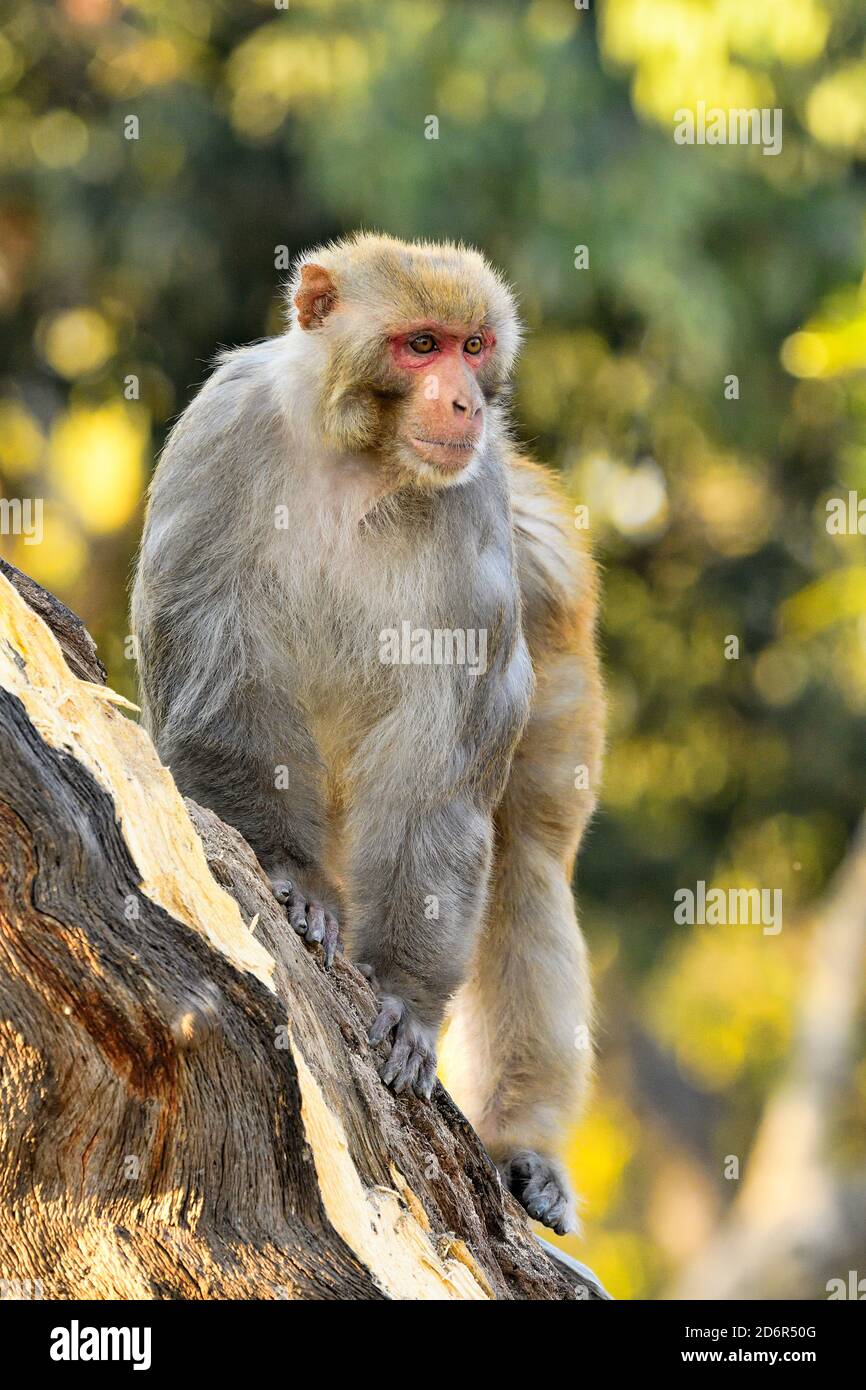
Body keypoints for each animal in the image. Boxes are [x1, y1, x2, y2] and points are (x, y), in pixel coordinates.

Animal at [132, 233, 606, 1234]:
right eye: (420, 345)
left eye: (472, 347)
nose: (466, 402)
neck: (360, 459)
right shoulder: (219, 438)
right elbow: (215, 675)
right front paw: (294, 882)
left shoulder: (475, 515)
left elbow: (439, 774)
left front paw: (402, 996)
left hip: (556, 630)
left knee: (525, 855)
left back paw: (526, 1146)